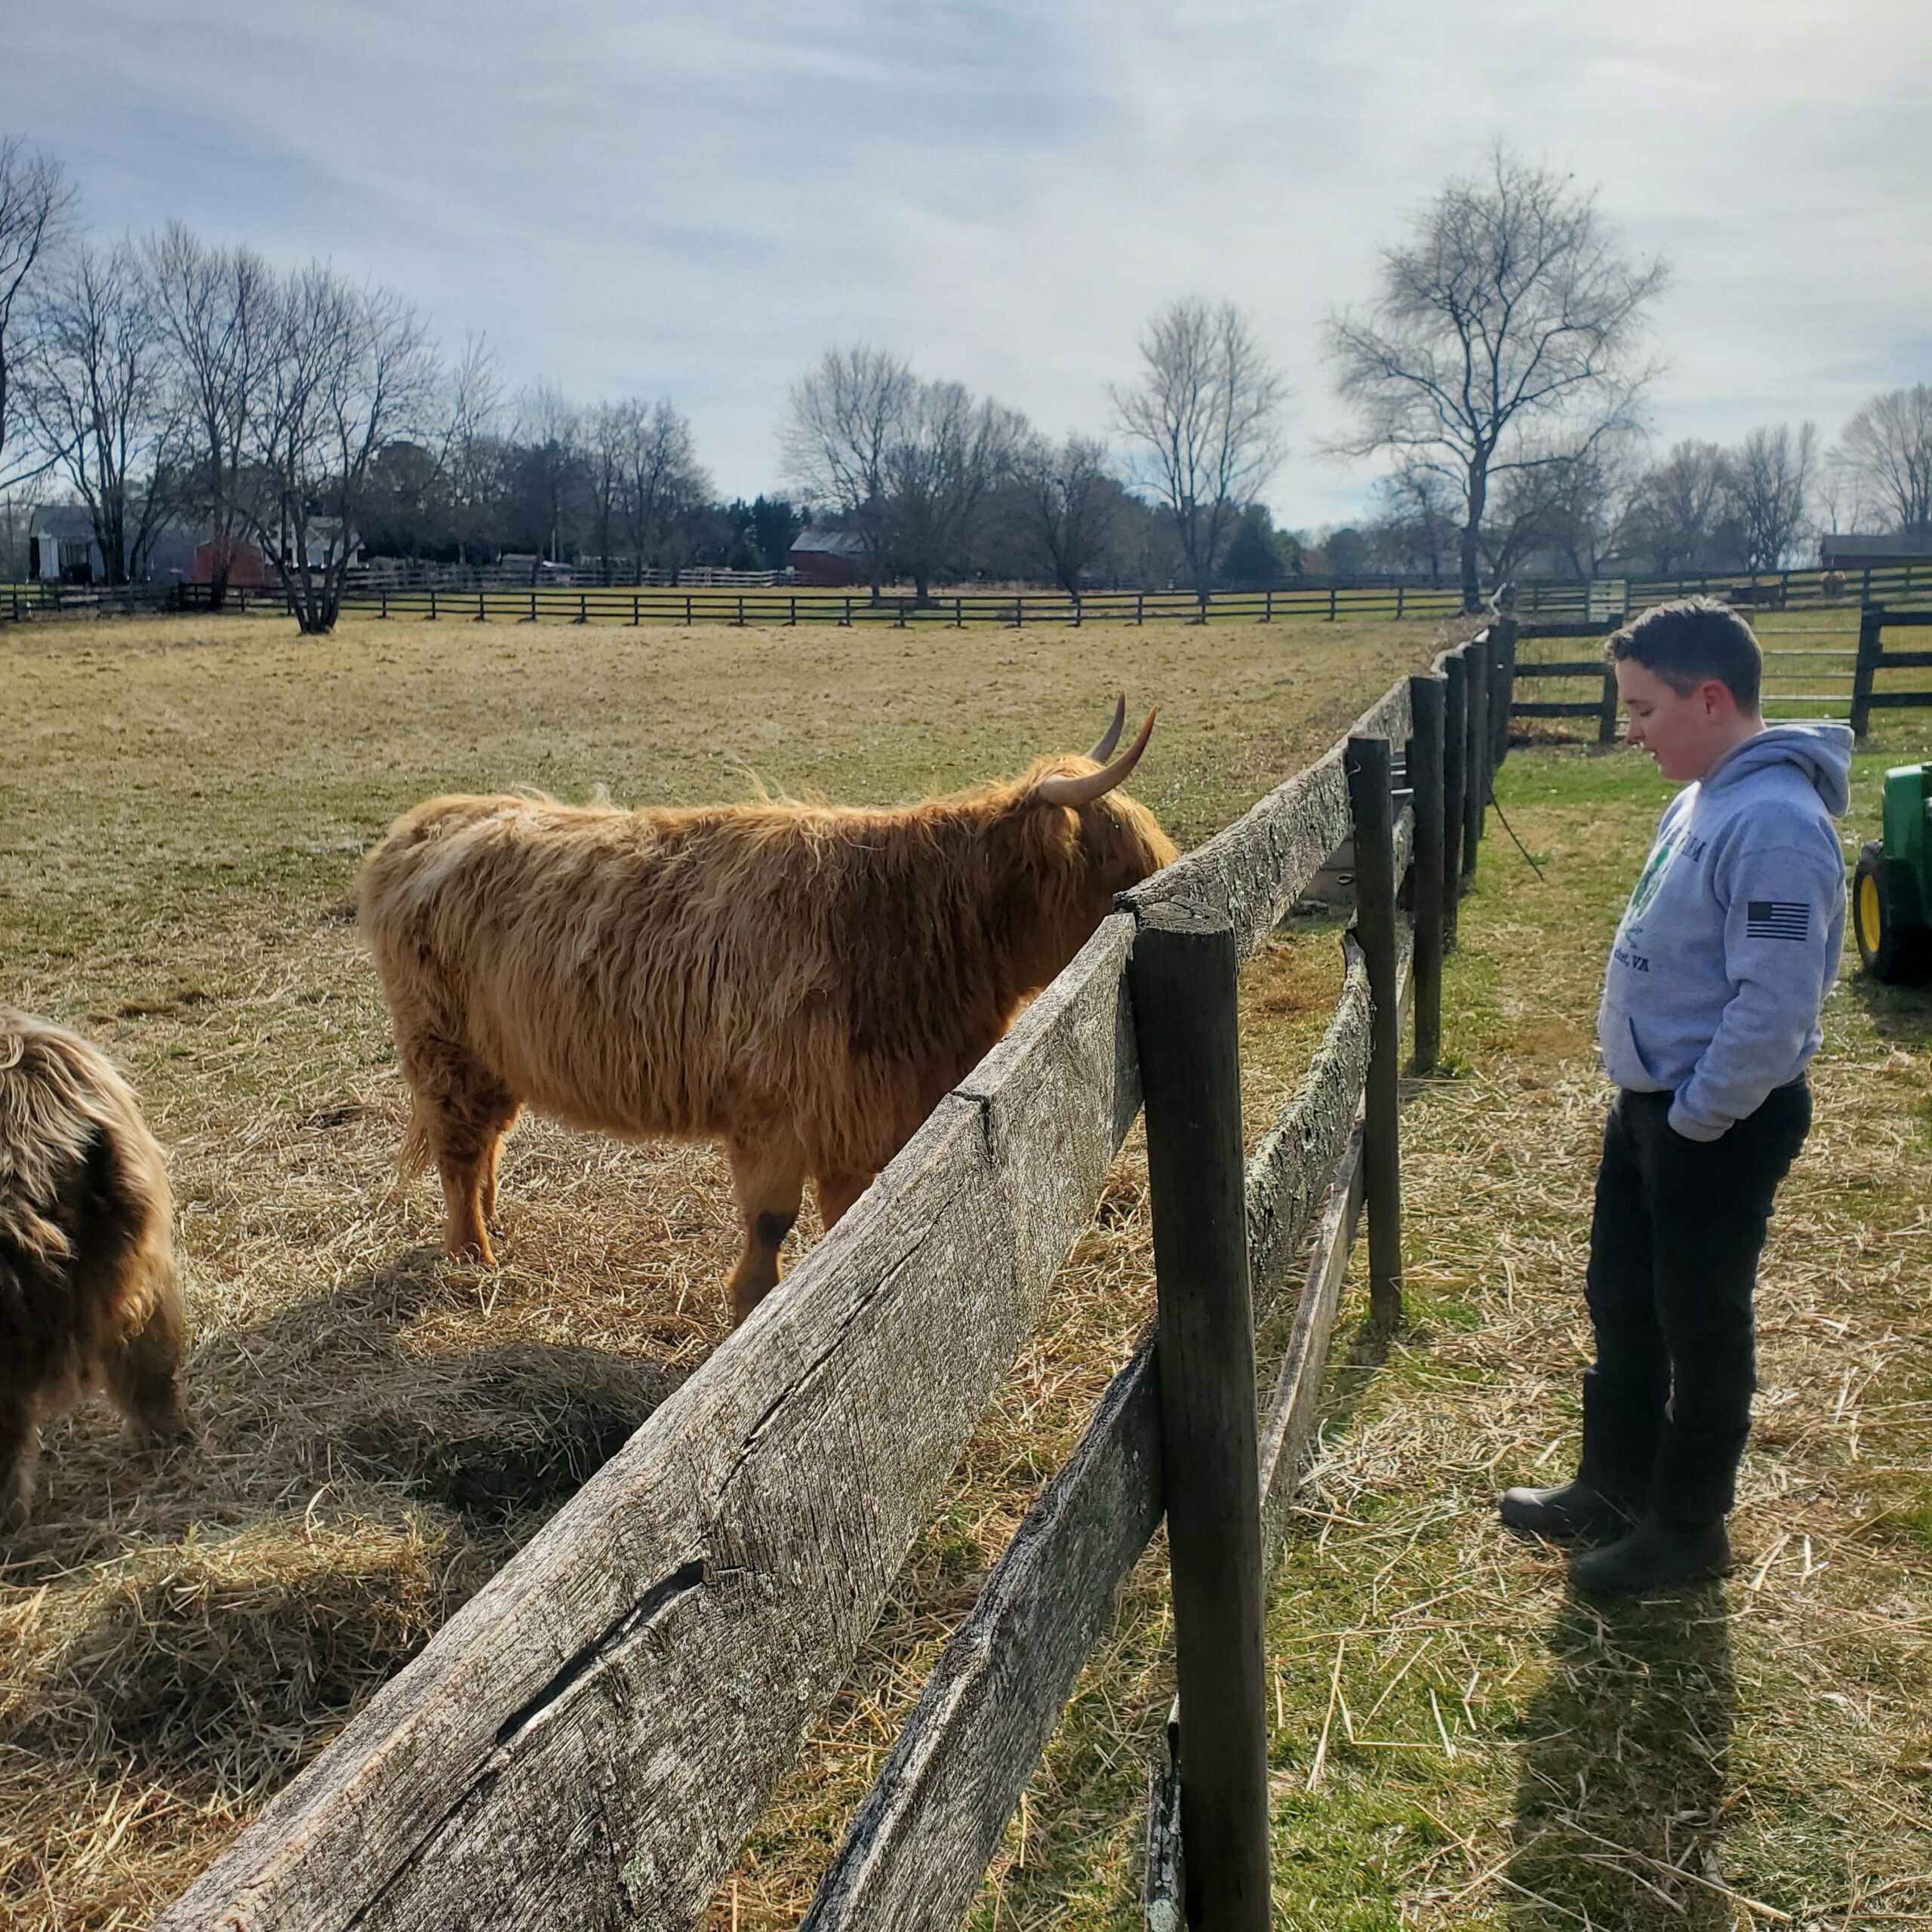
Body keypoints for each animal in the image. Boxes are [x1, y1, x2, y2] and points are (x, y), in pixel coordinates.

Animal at [358, 699, 1178, 1323]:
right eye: (1123, 856)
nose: (1178, 884)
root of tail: (424, 822)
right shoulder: (775, 1111)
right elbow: (770, 1220)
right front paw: (755, 1305)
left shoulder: (863, 1117)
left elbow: (854, 1218)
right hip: (443, 1048)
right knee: (459, 1150)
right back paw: (473, 1256)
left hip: (495, 1055)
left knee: (487, 1143)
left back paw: (493, 1226)